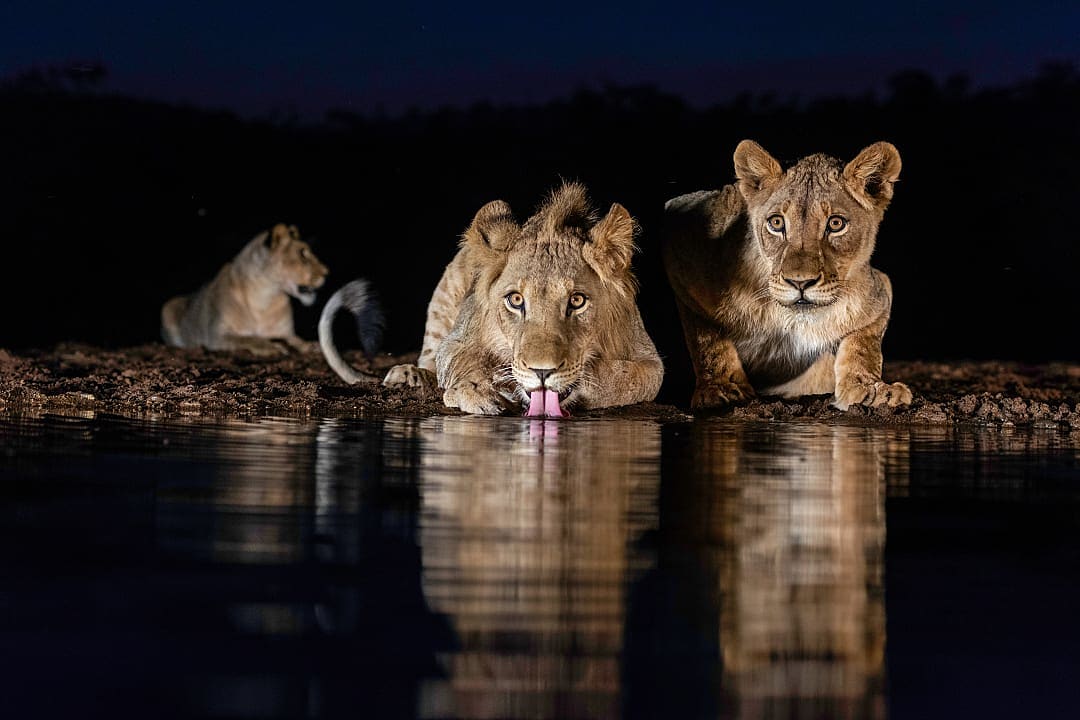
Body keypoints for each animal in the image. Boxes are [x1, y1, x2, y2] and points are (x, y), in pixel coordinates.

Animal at [161, 223, 328, 355]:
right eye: (303, 254)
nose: (327, 273)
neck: (266, 296)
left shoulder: (286, 332)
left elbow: (297, 340)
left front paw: (311, 346)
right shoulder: (216, 336)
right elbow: (248, 339)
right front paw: (272, 347)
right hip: (168, 307)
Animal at [377, 183, 664, 416]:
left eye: (577, 301)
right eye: (515, 300)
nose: (542, 372)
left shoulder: (649, 360)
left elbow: (623, 379)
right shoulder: (458, 338)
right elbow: (458, 361)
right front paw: (477, 390)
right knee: (428, 357)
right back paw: (409, 375)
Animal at [662, 140, 912, 410]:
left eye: (836, 224)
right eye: (776, 223)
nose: (800, 282)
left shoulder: (880, 290)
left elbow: (864, 345)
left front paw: (870, 389)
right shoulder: (684, 260)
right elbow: (708, 339)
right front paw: (723, 387)